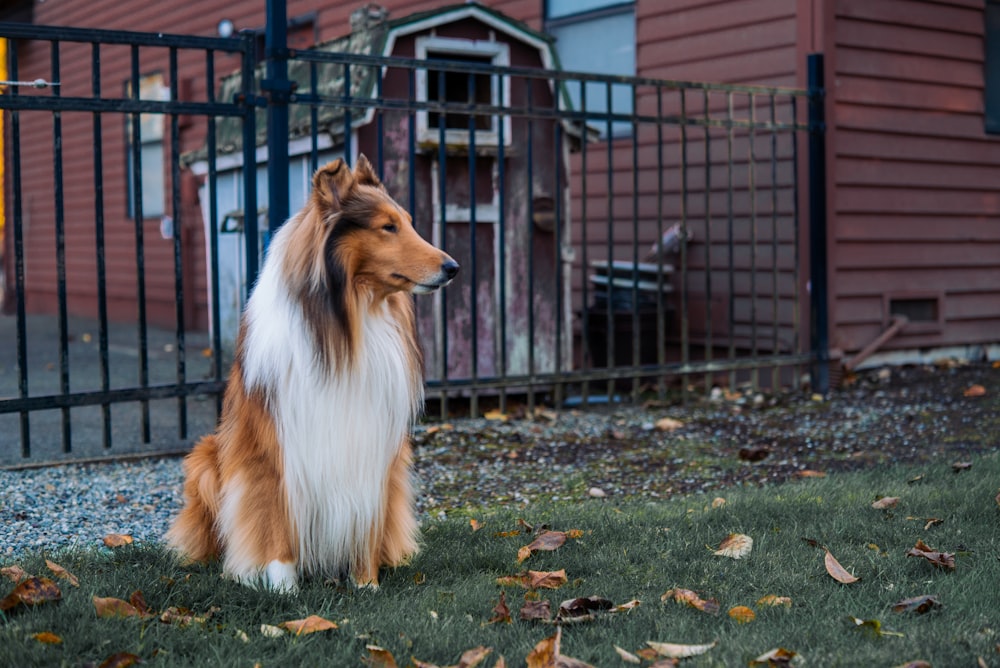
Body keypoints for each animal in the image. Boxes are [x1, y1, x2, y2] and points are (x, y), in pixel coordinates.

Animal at [167, 155, 458, 588]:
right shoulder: (274, 448)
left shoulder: (374, 450)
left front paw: (367, 583)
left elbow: (366, 520)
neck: (348, 327)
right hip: (206, 459)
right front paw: (282, 588)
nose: (453, 267)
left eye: (408, 222)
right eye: (388, 227)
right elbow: (275, 519)